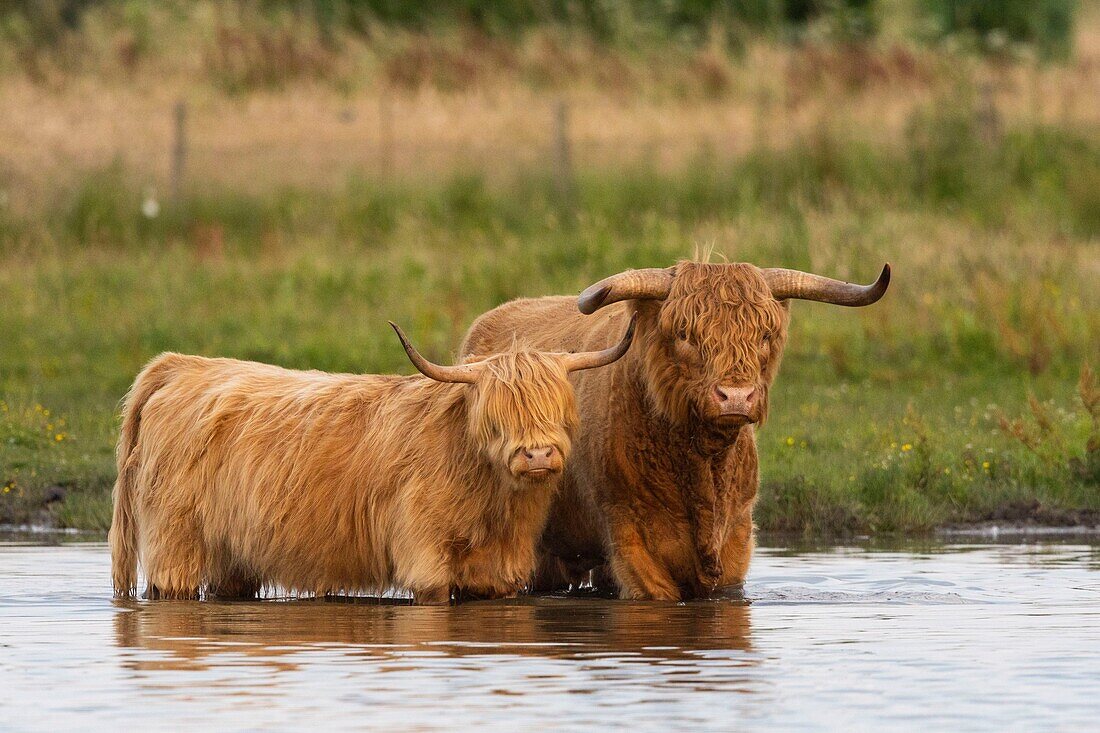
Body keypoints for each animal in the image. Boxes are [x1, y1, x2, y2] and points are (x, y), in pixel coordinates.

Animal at [109, 316, 638, 603]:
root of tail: (181, 366)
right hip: (175, 545)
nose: (538, 453)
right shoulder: (424, 560)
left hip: (232, 555)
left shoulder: (498, 571)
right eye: (496, 416)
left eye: (560, 409)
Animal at [459, 259, 888, 598]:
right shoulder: (631, 542)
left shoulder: (736, 543)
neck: (702, 463)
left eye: (765, 335)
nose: (736, 396)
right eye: (685, 335)